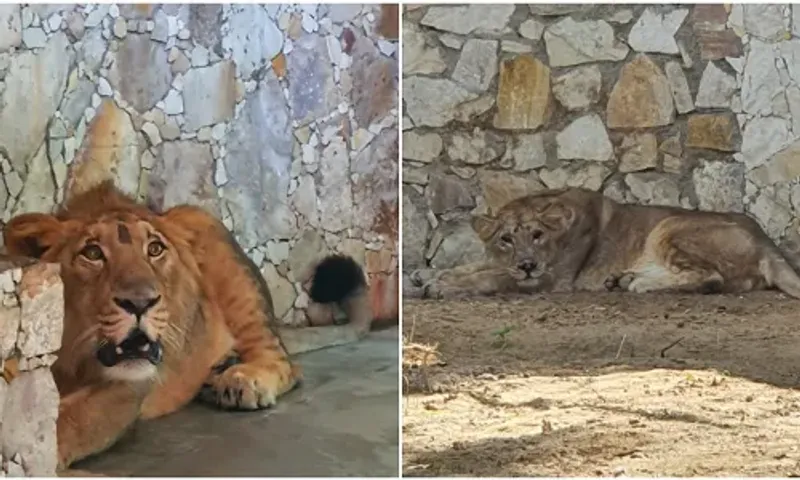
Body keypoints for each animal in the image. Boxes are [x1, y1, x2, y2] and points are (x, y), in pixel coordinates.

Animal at [3, 181, 374, 468]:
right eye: (92, 253)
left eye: (154, 249)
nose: (140, 303)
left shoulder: (128, 387)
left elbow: (68, 421)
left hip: (209, 234)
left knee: (284, 362)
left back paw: (241, 380)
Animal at [410, 188, 800, 300]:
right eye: (506, 239)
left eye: (537, 235)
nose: (527, 264)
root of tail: (767, 243)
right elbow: (474, 265)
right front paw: (427, 275)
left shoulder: (551, 279)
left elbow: (490, 277)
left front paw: (439, 286)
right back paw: (622, 280)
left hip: (670, 226)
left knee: (712, 279)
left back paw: (637, 284)